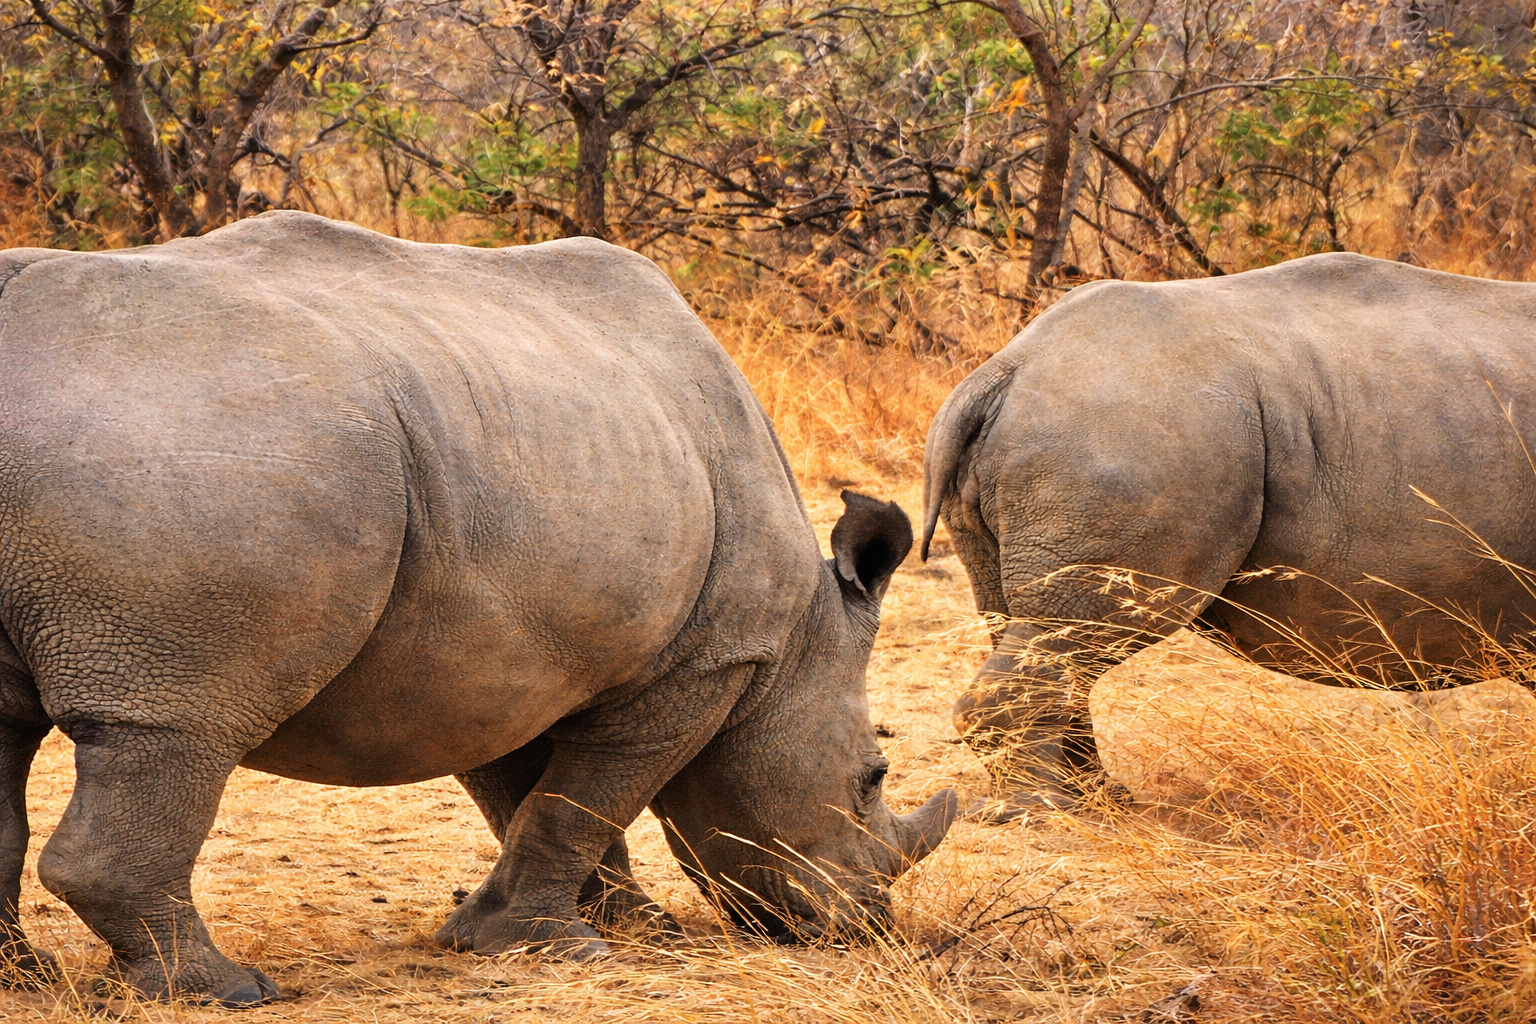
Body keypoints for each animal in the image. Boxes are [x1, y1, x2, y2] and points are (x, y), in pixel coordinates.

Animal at [0, 212, 957, 1005]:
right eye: (871, 778)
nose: (866, 925)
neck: (799, 638)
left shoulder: (509, 657)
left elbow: (535, 795)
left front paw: (617, 929)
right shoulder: (707, 661)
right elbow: (588, 797)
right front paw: (555, 945)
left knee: (12, 734)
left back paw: (26, 978)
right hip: (198, 452)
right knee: (180, 729)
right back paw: (226, 990)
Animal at [922, 253, 1536, 816]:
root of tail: (1003, 371)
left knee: (1037, 629)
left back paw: (1102, 801)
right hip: (1132, 430)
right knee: (1081, 628)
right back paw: (1050, 813)